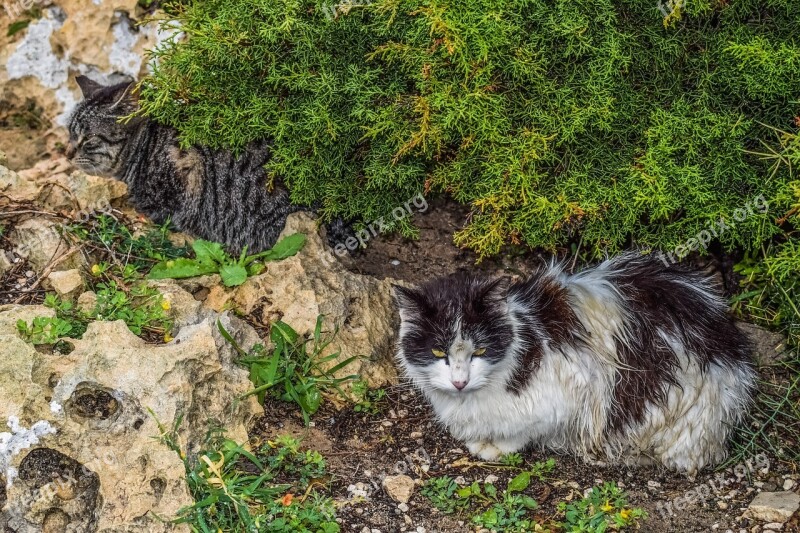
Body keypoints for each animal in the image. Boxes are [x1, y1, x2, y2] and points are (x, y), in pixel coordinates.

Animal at [396, 254, 760, 474]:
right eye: (437, 353)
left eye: (480, 351)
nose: (459, 382)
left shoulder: (567, 391)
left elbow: (525, 430)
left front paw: (496, 447)